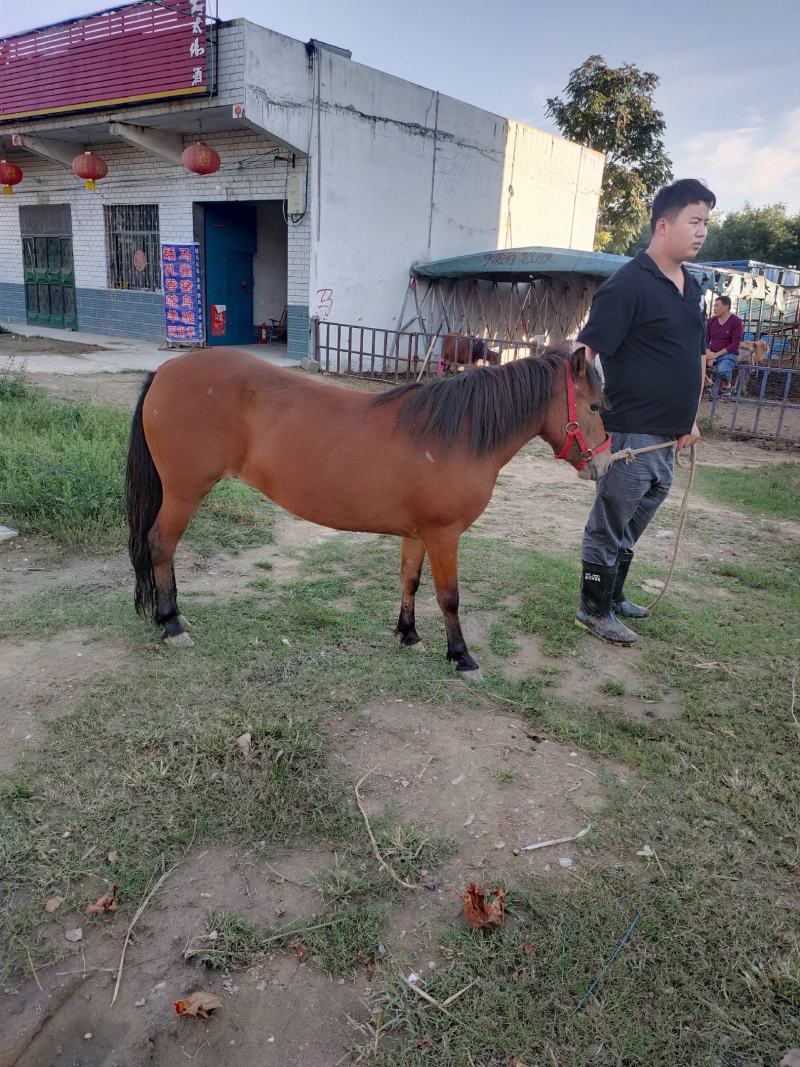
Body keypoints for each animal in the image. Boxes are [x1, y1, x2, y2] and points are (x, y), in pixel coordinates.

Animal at [125, 345, 609, 679]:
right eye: (596, 406)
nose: (604, 464)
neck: (455, 434)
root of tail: (165, 372)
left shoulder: (419, 533)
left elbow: (410, 581)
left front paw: (408, 635)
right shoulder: (445, 535)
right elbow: (449, 597)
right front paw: (461, 656)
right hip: (184, 492)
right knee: (161, 545)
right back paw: (171, 624)